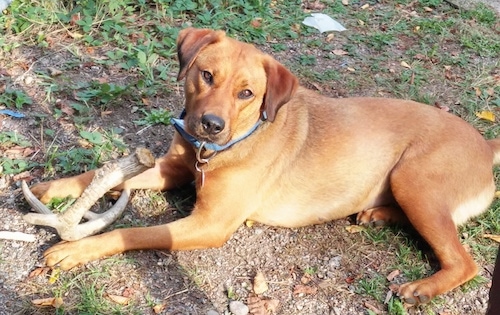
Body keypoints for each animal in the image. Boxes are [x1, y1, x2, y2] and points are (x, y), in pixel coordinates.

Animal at [29, 27, 498, 306]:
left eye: (247, 93)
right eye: (206, 75)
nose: (210, 124)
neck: (215, 151)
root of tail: (485, 142)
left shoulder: (210, 224)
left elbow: (131, 233)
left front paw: (74, 250)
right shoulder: (171, 169)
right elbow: (96, 173)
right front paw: (51, 188)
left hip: (414, 179)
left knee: (464, 262)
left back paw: (420, 287)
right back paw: (378, 214)